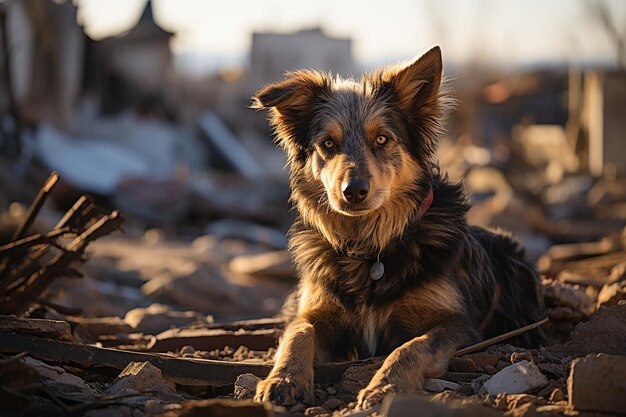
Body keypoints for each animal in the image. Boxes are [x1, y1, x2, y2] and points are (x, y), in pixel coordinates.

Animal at [251, 45, 544, 406]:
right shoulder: (313, 312)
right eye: (328, 144)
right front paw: (284, 378)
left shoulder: (459, 325)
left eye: (381, 139)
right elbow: (298, 334)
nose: (353, 191)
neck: (368, 248)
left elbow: (411, 348)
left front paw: (385, 386)